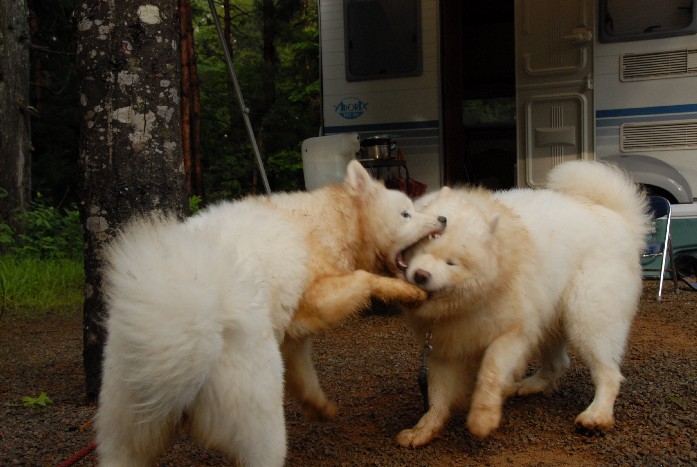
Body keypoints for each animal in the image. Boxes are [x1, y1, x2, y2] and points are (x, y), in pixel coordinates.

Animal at [95, 159, 446, 466]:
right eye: (406, 213)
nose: (442, 219)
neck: (335, 218)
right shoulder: (314, 302)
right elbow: (366, 279)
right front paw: (407, 291)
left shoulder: (294, 330)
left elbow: (304, 373)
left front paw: (318, 406)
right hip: (262, 419)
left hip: (128, 430)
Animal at [394, 162, 648, 450]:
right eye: (422, 247)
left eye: (451, 263)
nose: (421, 275)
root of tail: (619, 218)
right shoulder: (444, 346)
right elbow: (438, 393)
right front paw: (423, 429)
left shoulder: (512, 334)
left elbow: (490, 371)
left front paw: (482, 418)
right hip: (551, 320)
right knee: (558, 364)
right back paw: (527, 386)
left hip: (588, 320)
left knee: (608, 373)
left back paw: (597, 415)